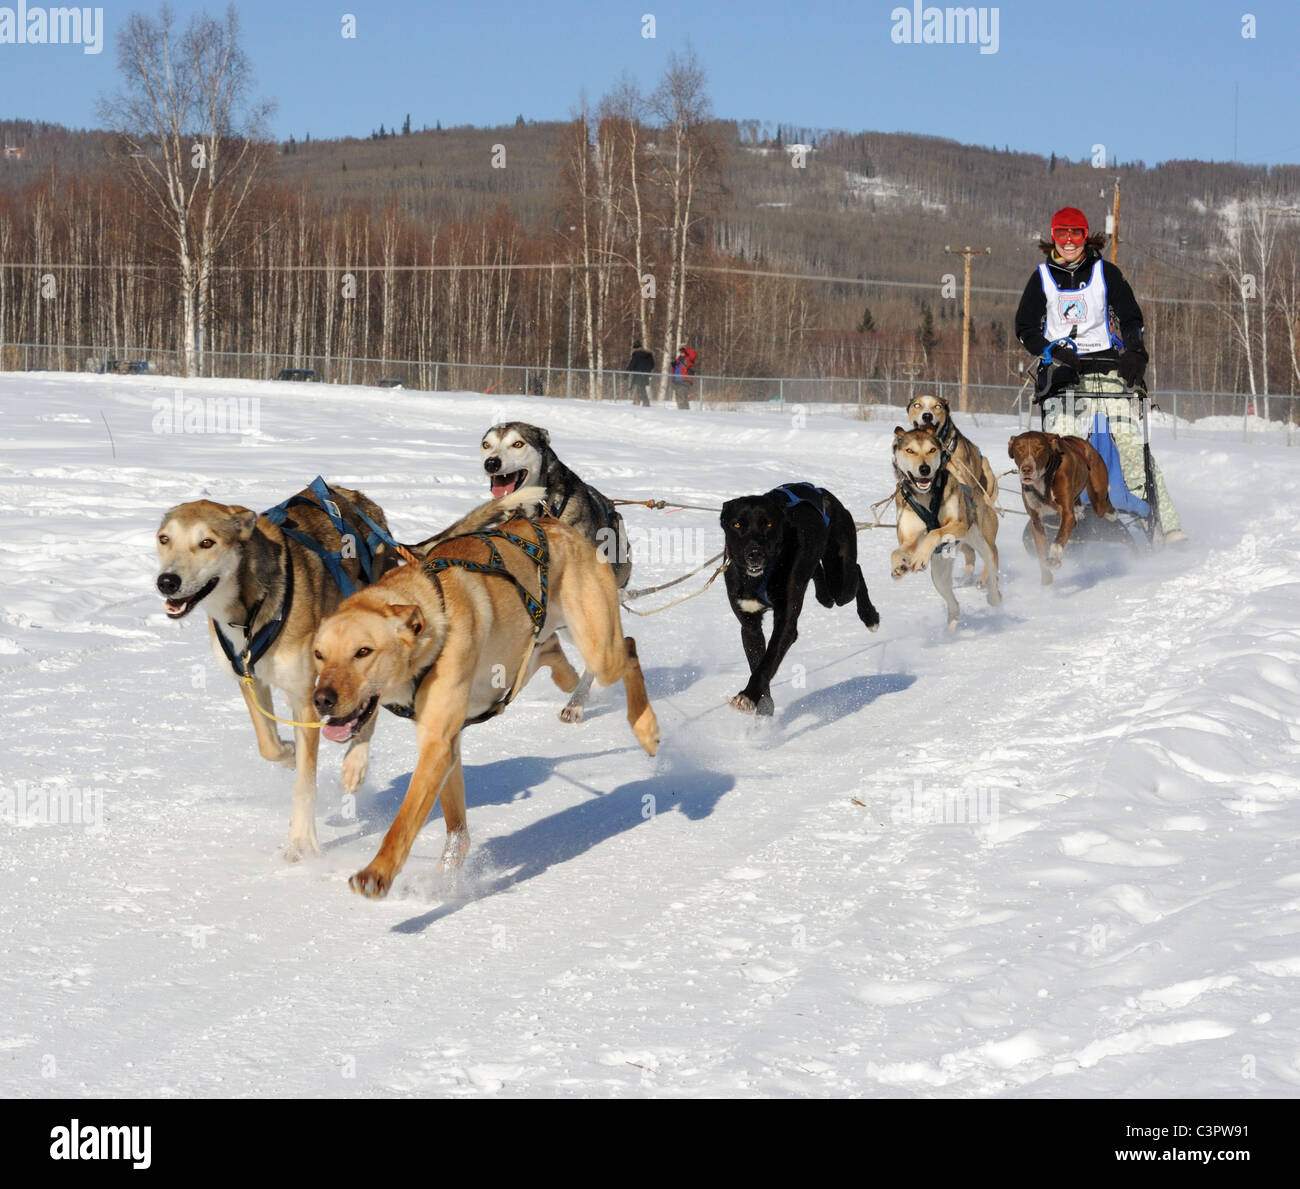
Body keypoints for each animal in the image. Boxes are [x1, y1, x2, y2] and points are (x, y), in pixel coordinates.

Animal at [889, 428, 998, 631]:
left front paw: (920, 557)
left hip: (983, 543)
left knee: (992, 568)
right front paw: (900, 565)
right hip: (939, 576)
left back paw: (995, 596)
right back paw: (951, 629)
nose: (925, 469)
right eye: (910, 450)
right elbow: (897, 551)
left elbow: (934, 532)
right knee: (954, 605)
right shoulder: (909, 539)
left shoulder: (958, 524)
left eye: (932, 450)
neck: (925, 496)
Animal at [1003, 434, 1118, 587]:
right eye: (1019, 448)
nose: (1026, 469)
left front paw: (1054, 558)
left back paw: (1112, 513)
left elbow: (1058, 540)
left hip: (1097, 496)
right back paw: (1079, 510)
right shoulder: (1036, 521)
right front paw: (1046, 582)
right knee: (1079, 504)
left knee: (1103, 505)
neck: (1044, 481)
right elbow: (1041, 553)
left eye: (1039, 448)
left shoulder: (1067, 515)